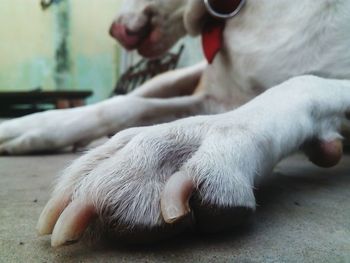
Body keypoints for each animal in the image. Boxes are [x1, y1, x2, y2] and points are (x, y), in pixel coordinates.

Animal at [0, 0, 350, 248]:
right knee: (129, 99)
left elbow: (302, 82)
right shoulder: (214, 96)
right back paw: (30, 127)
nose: (114, 30)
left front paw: (177, 150)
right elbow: (132, 104)